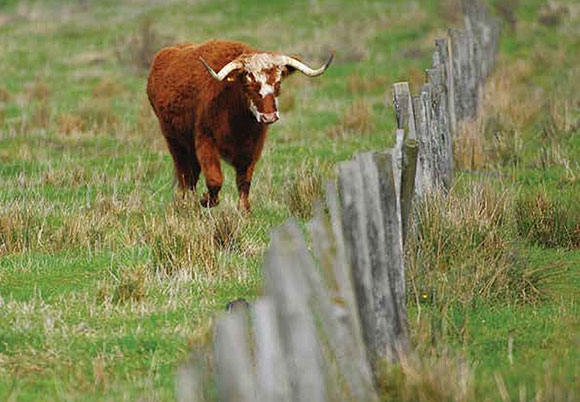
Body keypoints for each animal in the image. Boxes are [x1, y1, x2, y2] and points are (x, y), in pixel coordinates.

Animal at [147, 39, 334, 212]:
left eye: (278, 83)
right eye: (249, 84)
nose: (269, 117)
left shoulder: (252, 148)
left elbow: (244, 180)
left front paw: (244, 210)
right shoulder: (205, 140)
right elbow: (215, 179)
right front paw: (206, 200)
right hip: (174, 141)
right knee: (186, 175)